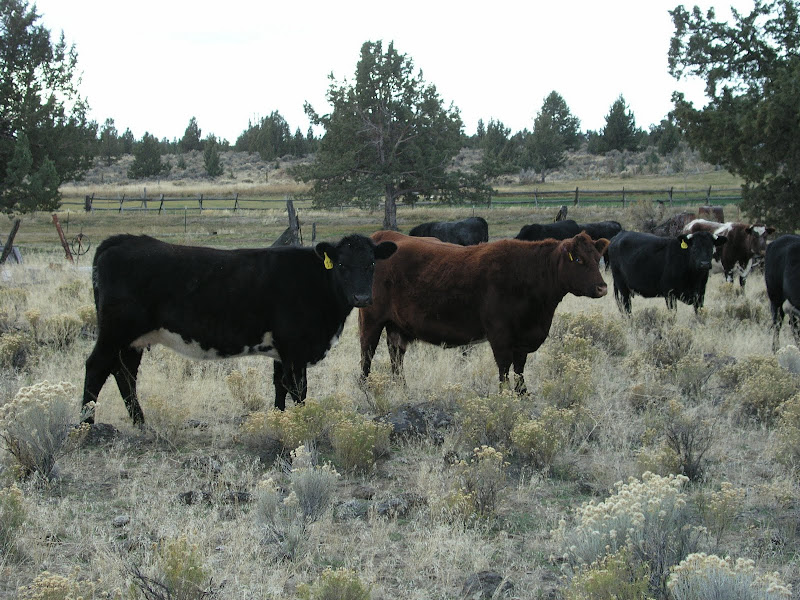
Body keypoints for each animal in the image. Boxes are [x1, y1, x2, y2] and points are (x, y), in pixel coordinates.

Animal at [82, 233, 397, 425]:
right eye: (341, 265)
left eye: (371, 264)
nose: (362, 298)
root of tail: (121, 241)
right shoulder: (296, 349)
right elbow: (299, 390)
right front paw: (302, 424)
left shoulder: (282, 352)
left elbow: (280, 387)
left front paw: (279, 421)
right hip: (115, 332)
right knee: (97, 367)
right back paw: (86, 426)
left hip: (133, 340)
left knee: (125, 373)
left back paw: (141, 423)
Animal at [359, 231, 610, 394]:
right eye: (579, 259)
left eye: (598, 258)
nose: (602, 288)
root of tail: (384, 236)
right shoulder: (499, 334)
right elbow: (504, 368)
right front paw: (503, 397)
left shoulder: (524, 338)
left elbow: (519, 369)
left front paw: (522, 395)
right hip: (371, 319)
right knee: (367, 354)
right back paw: (364, 388)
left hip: (397, 326)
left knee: (396, 356)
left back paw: (402, 388)